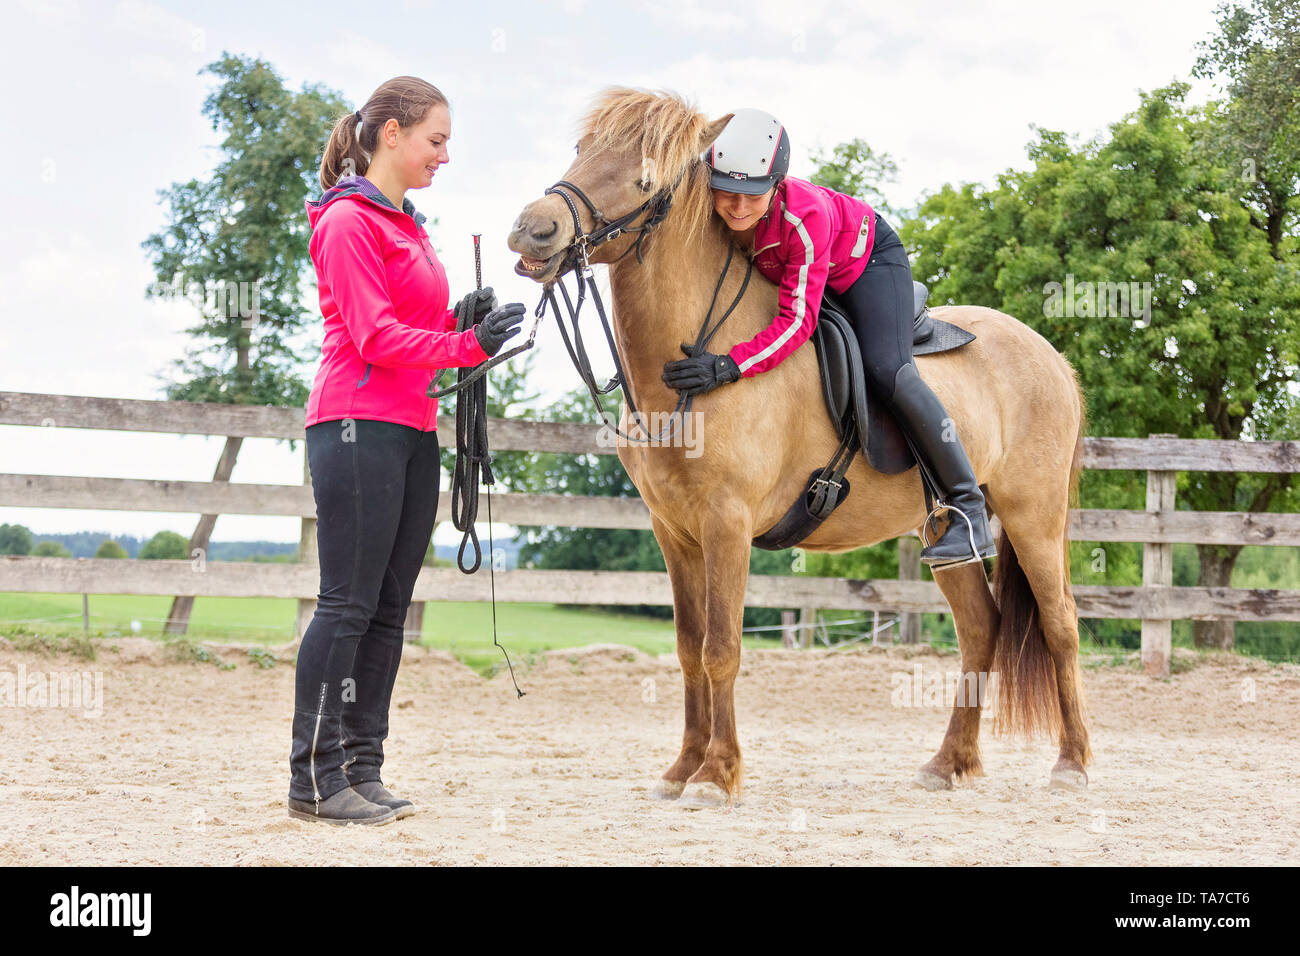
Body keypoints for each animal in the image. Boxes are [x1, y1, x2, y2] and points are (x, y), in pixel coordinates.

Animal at [504, 87, 1086, 806]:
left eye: (646, 180)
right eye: (581, 150)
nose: (533, 230)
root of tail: (1052, 357)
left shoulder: (727, 523)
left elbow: (722, 648)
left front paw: (717, 775)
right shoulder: (676, 533)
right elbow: (689, 648)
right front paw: (683, 767)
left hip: (1035, 518)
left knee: (1061, 625)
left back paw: (1072, 762)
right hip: (941, 532)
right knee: (981, 629)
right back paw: (949, 761)